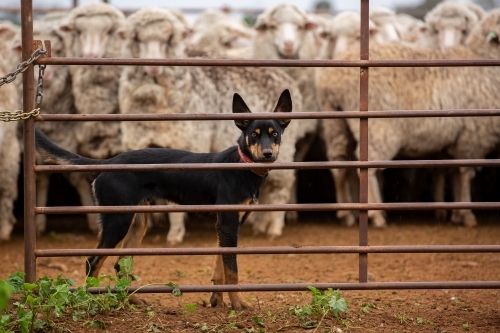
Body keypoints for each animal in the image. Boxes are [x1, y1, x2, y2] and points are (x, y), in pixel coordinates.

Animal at [34, 88, 292, 308]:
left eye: (275, 134)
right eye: (254, 135)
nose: (268, 154)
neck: (242, 166)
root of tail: (107, 163)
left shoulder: (229, 226)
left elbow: (221, 267)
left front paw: (217, 301)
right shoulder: (227, 225)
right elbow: (232, 271)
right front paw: (238, 304)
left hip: (137, 223)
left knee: (120, 266)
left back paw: (134, 301)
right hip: (117, 222)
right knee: (93, 262)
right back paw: (92, 300)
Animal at [118, 6, 304, 243]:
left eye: (169, 39)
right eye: (136, 38)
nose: (153, 67)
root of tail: (281, 74)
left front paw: (175, 234)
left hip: (282, 151)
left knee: (280, 186)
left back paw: (274, 227)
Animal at [316, 7, 500, 227]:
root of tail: (332, 79)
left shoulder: (461, 139)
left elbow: (457, 174)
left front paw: (457, 213)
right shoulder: (474, 135)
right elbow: (464, 175)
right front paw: (466, 214)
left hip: (334, 123)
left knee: (339, 163)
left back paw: (346, 213)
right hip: (378, 128)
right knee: (366, 167)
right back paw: (375, 214)